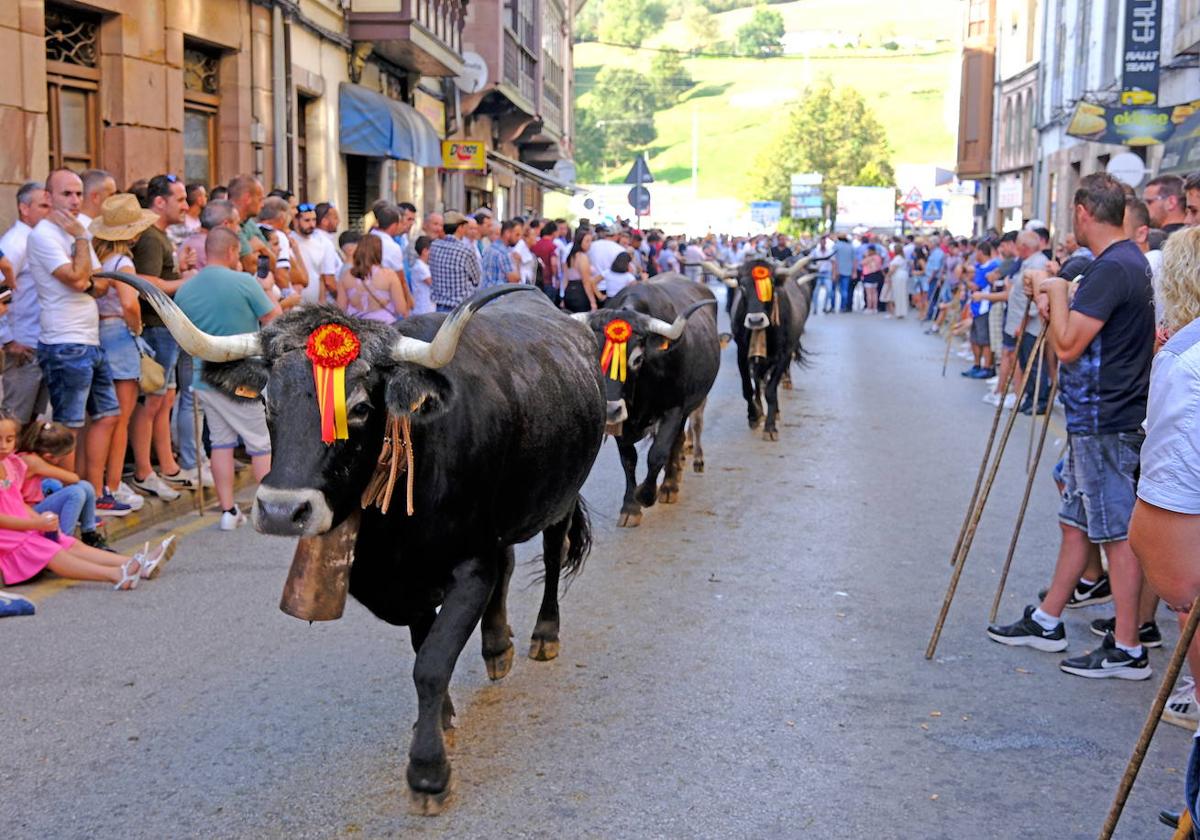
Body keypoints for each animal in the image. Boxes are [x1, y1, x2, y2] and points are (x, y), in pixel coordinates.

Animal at [98, 273, 609, 816]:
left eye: (361, 408)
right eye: (266, 403)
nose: (281, 511)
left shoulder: (470, 565)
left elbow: (431, 664)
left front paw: (428, 770)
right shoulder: (413, 581)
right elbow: (423, 647)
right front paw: (440, 720)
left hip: (560, 498)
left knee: (551, 557)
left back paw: (544, 635)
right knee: (509, 564)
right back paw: (496, 646)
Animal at [576, 276, 715, 525]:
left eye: (637, 359)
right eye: (593, 354)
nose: (610, 410)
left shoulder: (673, 409)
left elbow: (657, 454)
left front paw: (646, 494)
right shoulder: (622, 422)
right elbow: (628, 459)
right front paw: (630, 507)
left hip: (687, 409)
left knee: (677, 441)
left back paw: (670, 485)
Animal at [700, 254, 816, 439]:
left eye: (771, 285)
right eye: (742, 286)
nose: (755, 320)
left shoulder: (783, 354)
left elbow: (770, 390)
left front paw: (770, 426)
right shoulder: (742, 353)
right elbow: (748, 388)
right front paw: (754, 416)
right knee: (758, 380)